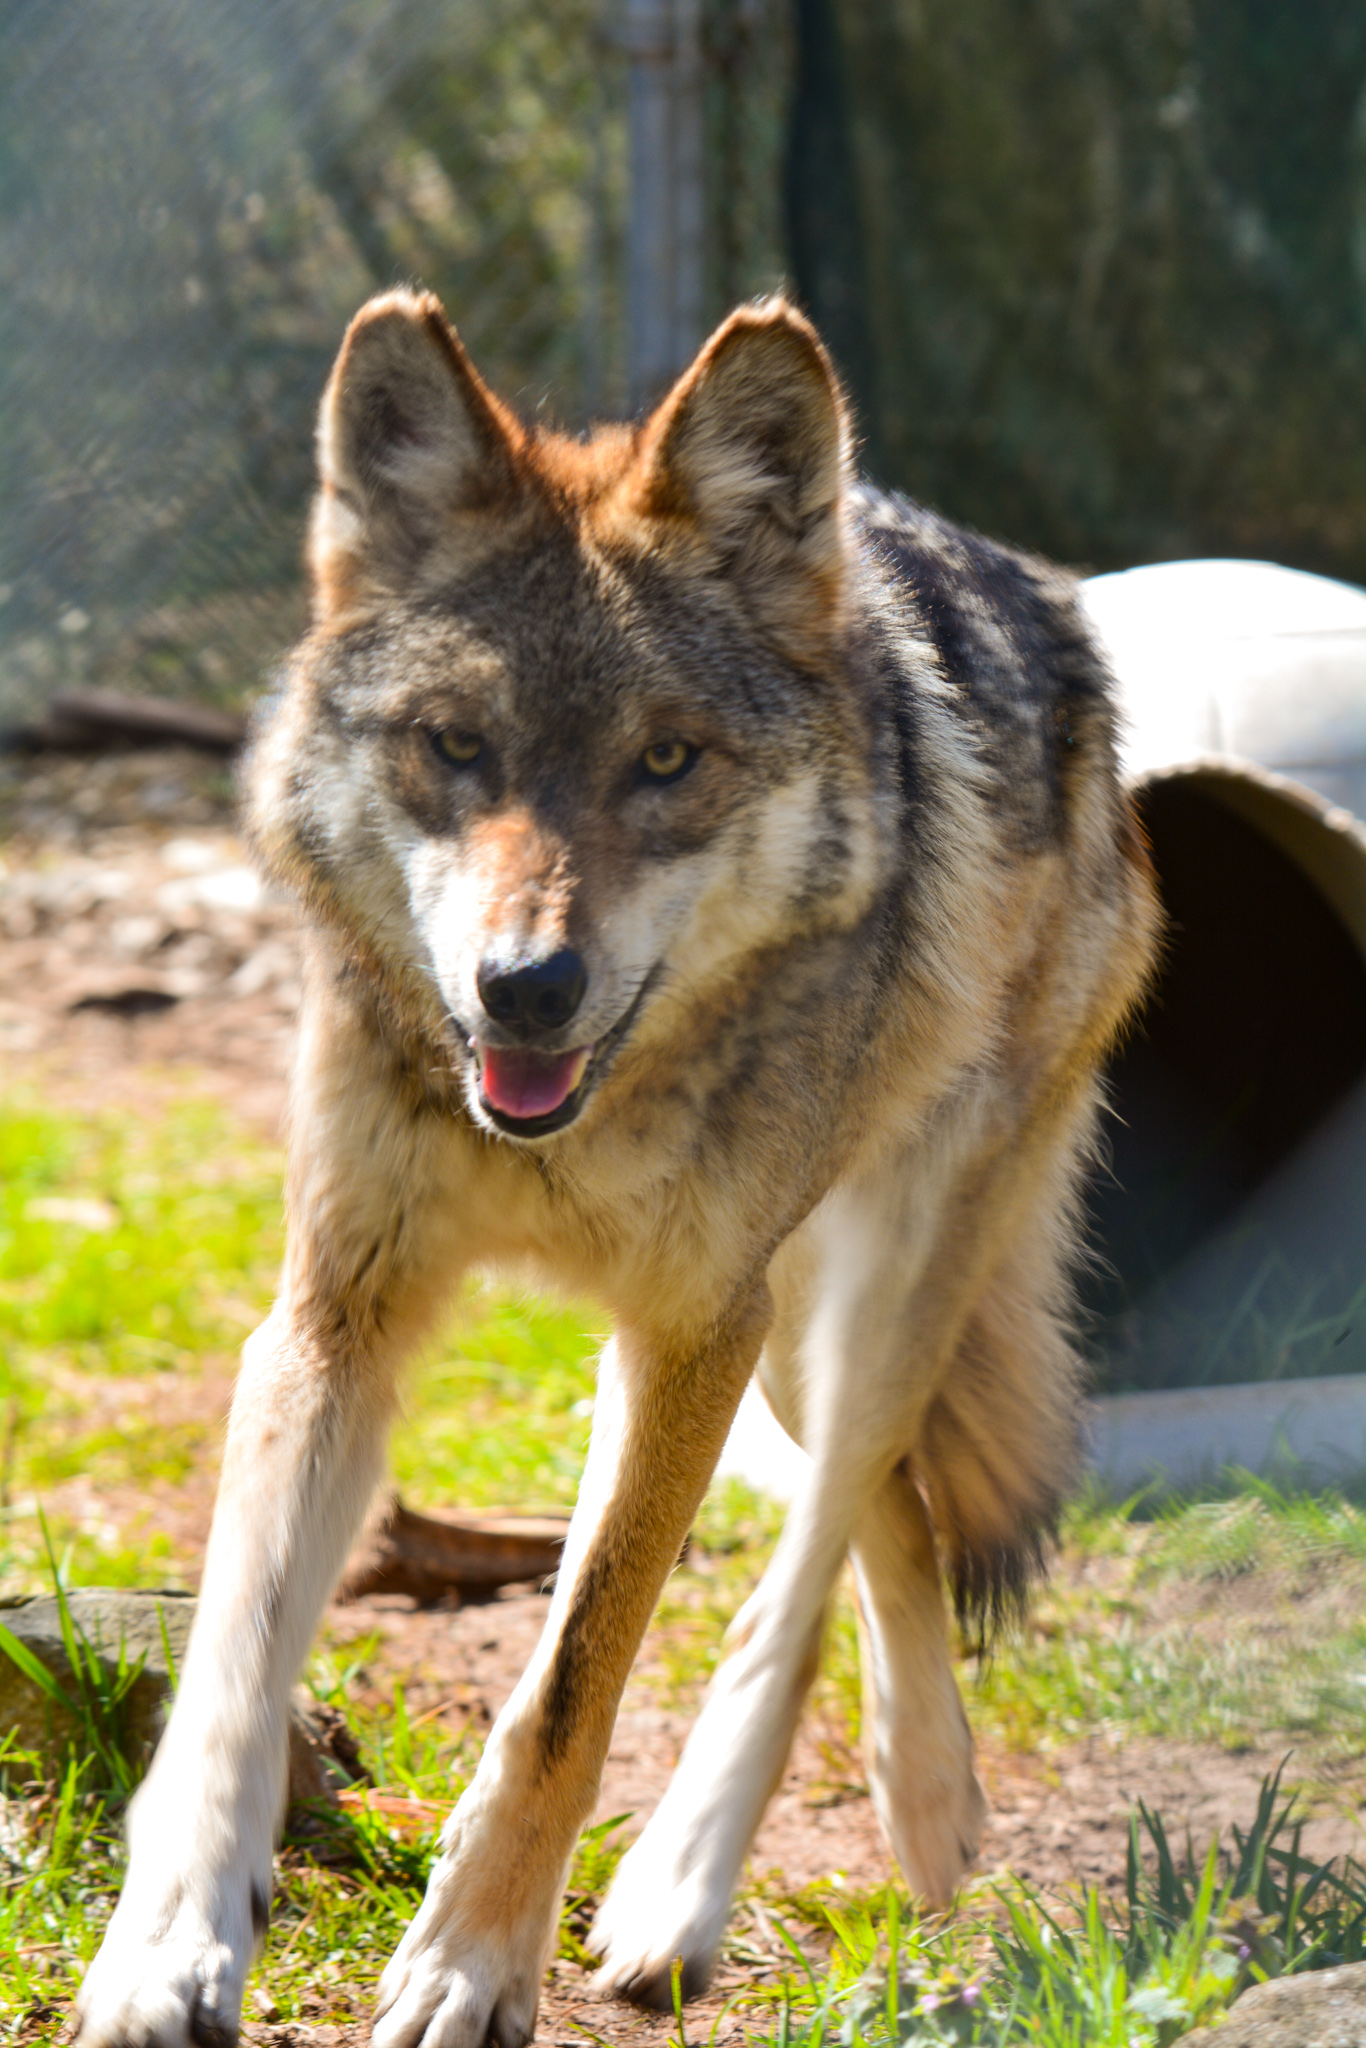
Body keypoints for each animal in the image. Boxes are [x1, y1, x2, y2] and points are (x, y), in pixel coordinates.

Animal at [76, 289, 1159, 2048]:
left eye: (665, 762)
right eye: (455, 745)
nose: (526, 988)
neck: (562, 1134)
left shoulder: (689, 1326)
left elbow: (570, 1682)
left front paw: (466, 1965)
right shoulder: (334, 1319)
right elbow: (232, 1668)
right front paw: (166, 1946)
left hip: (859, 1297)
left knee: (810, 1564)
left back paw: (712, 1883)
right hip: (764, 1336)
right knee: (886, 1512)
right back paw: (906, 1808)